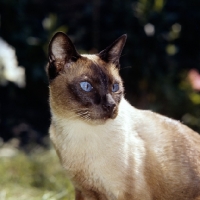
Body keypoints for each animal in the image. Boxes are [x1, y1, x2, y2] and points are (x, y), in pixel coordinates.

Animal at [47, 32, 200, 199]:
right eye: (86, 86)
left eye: (115, 87)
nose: (111, 105)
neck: (78, 132)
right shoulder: (84, 191)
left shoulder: (130, 194)